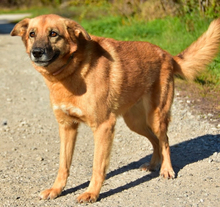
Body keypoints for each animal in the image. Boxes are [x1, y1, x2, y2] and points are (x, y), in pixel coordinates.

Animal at [11, 14, 220, 202]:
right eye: (32, 34)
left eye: (53, 33)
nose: (37, 52)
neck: (71, 70)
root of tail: (167, 54)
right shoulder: (67, 127)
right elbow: (64, 164)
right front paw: (56, 190)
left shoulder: (103, 127)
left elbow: (97, 166)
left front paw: (91, 193)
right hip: (135, 122)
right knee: (155, 142)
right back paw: (153, 165)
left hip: (156, 117)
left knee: (165, 141)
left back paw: (166, 169)